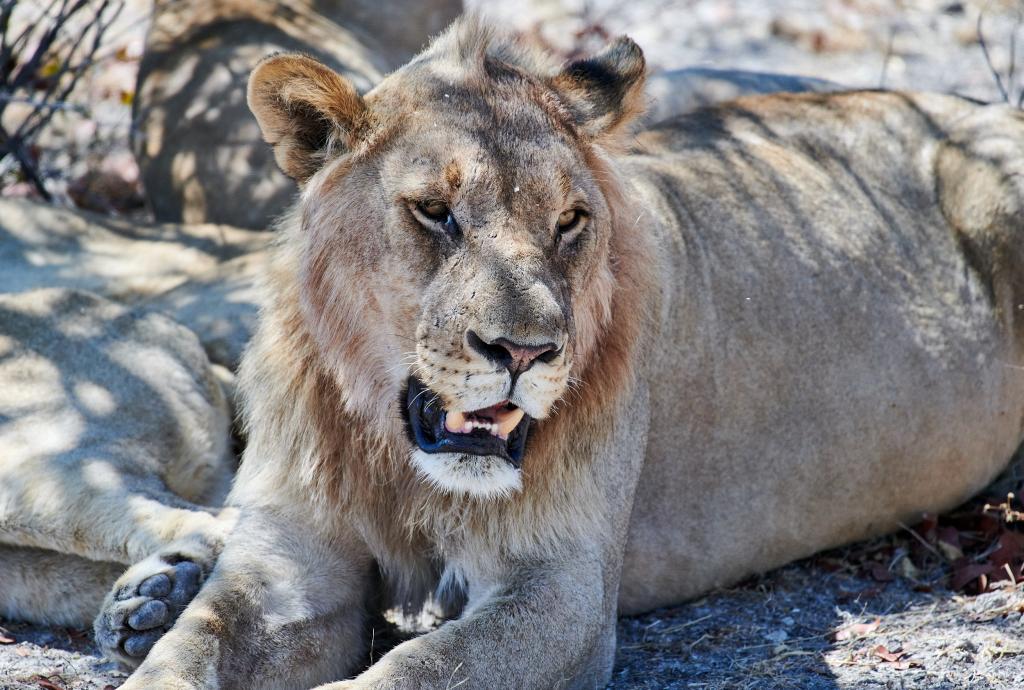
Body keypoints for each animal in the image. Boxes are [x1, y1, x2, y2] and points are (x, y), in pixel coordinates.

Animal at [12, 16, 1024, 687]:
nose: (526, 351)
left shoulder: (563, 592)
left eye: (570, 221)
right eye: (435, 212)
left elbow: (411, 672)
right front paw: (164, 630)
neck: (400, 459)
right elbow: (189, 655)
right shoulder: (288, 566)